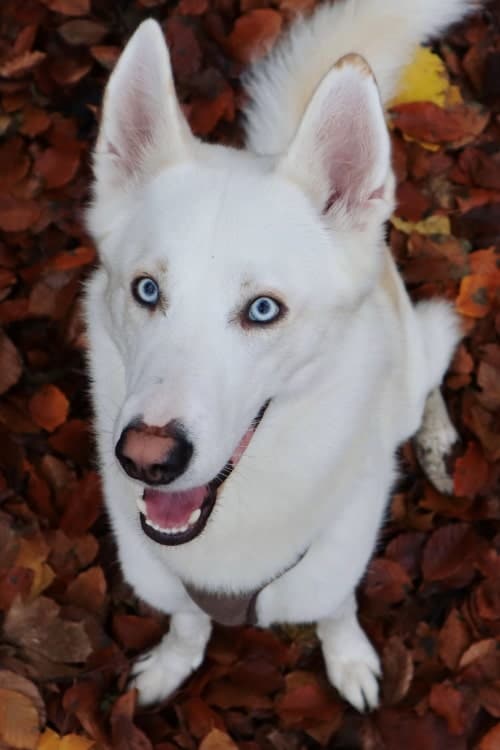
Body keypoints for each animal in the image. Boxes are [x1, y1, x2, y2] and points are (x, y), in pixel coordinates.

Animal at [0, 0, 498, 748]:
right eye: (147, 290)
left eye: (263, 309)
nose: (147, 458)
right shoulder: (166, 577)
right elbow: (188, 621)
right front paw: (172, 664)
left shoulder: (332, 566)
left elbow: (336, 611)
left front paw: (349, 658)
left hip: (418, 357)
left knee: (431, 366)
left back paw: (436, 440)